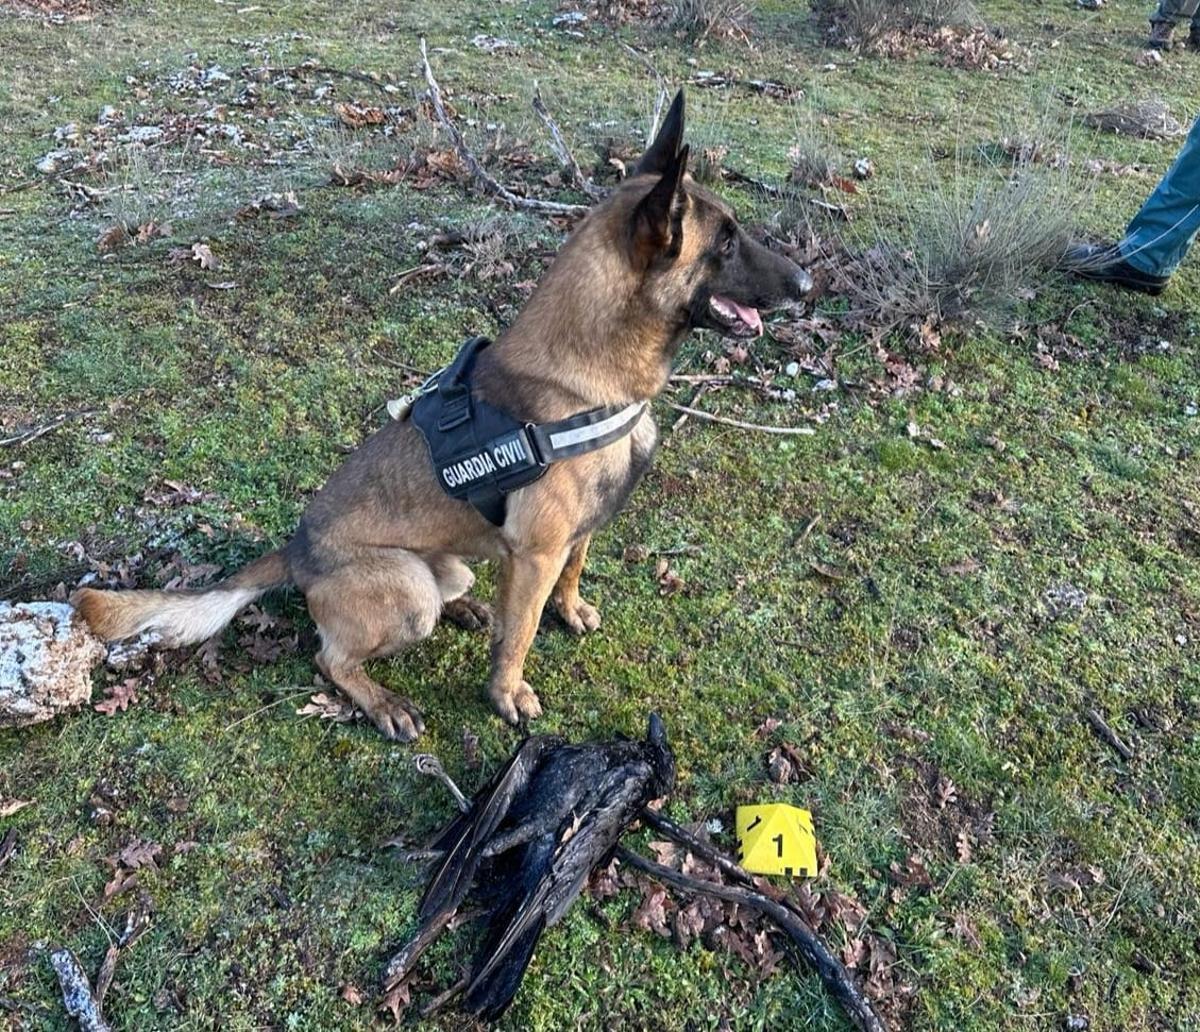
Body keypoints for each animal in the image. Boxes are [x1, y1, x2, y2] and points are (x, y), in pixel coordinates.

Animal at [70, 93, 811, 739]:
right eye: (726, 243)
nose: (809, 284)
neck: (592, 377)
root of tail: (296, 551)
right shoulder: (536, 553)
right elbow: (519, 637)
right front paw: (507, 694)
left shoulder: (572, 537)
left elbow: (571, 574)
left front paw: (569, 610)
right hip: (406, 590)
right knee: (330, 657)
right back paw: (382, 700)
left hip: (448, 566)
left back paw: (471, 607)